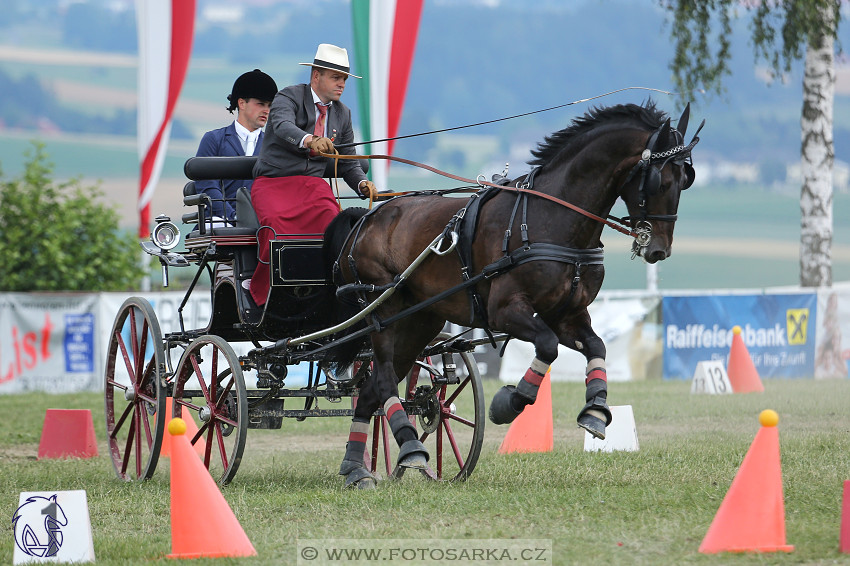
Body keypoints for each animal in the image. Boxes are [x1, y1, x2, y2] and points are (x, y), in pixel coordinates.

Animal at [322, 101, 696, 488]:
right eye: (660, 180)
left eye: (687, 179)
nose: (659, 250)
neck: (553, 219)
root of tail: (366, 217)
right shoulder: (507, 311)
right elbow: (547, 346)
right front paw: (511, 402)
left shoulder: (567, 314)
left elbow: (597, 346)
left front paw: (595, 410)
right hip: (382, 314)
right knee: (381, 379)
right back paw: (409, 447)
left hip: (419, 321)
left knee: (372, 390)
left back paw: (357, 468)